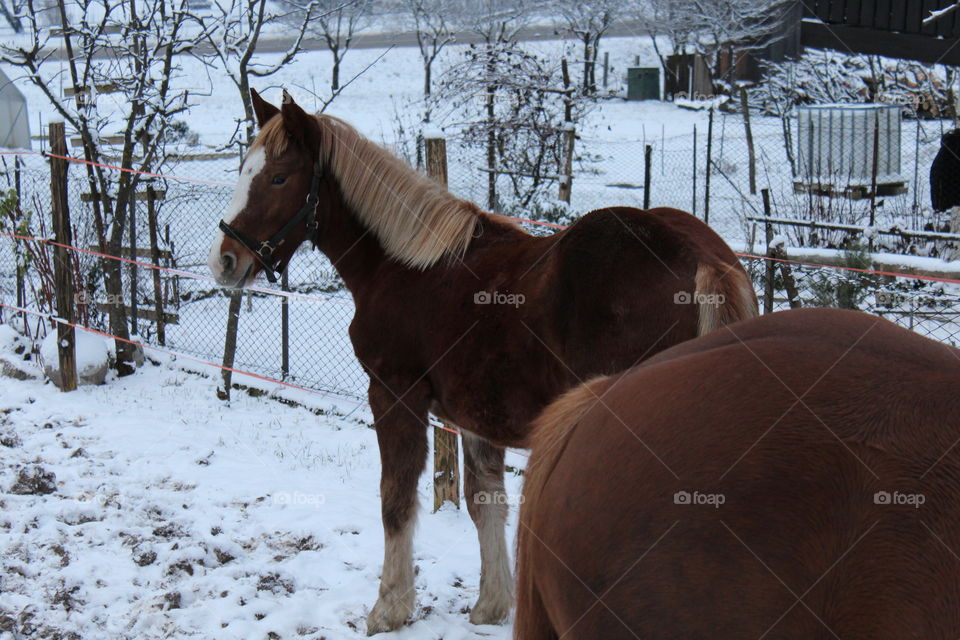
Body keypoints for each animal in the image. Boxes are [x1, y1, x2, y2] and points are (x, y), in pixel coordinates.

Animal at [208, 90, 756, 636]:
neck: (403, 266)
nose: (225, 260)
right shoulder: (475, 416)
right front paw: (491, 604)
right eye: (245, 168)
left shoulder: (394, 394)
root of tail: (702, 259)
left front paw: (389, 607)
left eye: (279, 178)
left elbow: (396, 498)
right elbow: (484, 502)